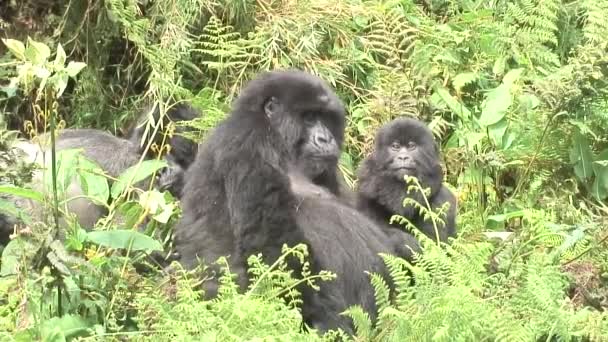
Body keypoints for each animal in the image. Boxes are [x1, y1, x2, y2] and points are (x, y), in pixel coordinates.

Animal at [171, 69, 418, 334]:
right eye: (309, 118)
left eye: (325, 118)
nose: (326, 139)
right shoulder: (248, 138)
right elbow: (271, 243)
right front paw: (326, 321)